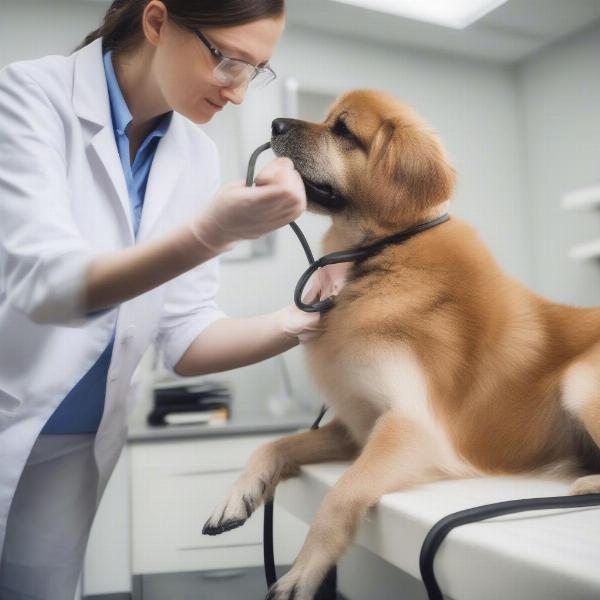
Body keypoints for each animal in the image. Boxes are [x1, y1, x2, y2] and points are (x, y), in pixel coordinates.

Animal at [202, 89, 600, 600]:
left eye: (342, 129)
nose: (274, 124)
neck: (384, 254)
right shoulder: (355, 426)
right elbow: (273, 445)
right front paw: (237, 495)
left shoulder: (411, 427)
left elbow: (340, 496)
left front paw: (302, 572)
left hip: (580, 381)